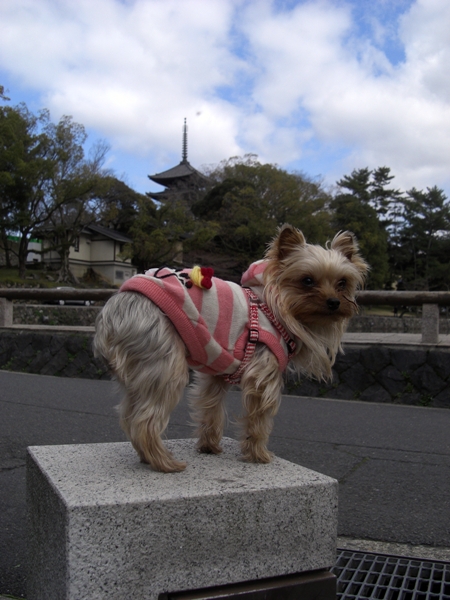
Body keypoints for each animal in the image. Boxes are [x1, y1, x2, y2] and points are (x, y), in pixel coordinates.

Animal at [93, 223, 368, 472]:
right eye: (307, 281)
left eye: (342, 283)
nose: (334, 302)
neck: (275, 310)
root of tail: (115, 309)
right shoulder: (263, 372)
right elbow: (258, 418)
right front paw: (258, 454)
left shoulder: (216, 371)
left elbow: (211, 408)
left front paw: (209, 446)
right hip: (164, 361)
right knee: (145, 420)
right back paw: (165, 463)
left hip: (139, 369)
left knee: (128, 414)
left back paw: (145, 457)